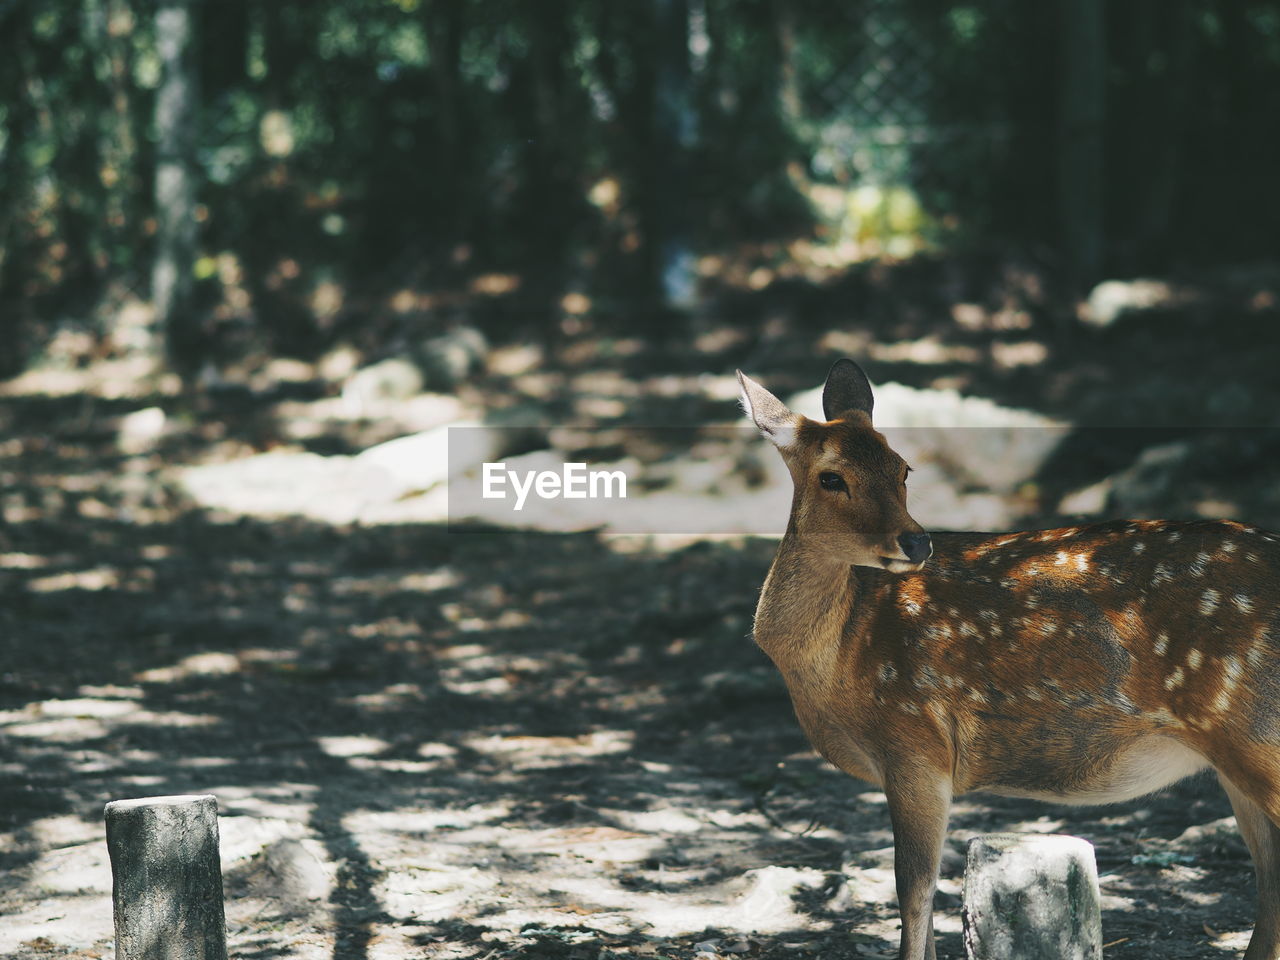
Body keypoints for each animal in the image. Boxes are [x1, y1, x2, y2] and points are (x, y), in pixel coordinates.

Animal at [737, 360, 1280, 960]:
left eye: (903, 468)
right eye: (831, 477)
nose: (917, 543)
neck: (837, 656)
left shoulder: (915, 741)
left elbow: (913, 890)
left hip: (1255, 731)